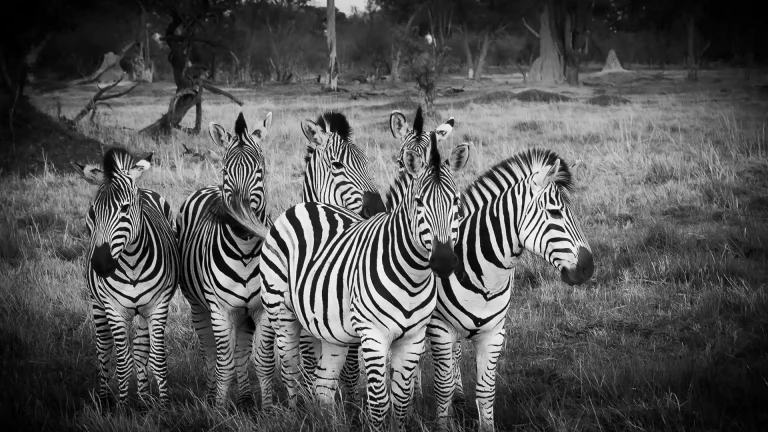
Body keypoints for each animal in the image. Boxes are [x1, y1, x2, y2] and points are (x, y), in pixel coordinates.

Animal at [73, 148, 179, 408]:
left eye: (125, 208)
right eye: (93, 213)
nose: (100, 265)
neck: (131, 263)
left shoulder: (158, 306)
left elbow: (157, 359)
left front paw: (164, 406)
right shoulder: (114, 310)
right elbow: (122, 362)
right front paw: (122, 407)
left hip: (142, 309)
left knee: (140, 349)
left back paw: (144, 399)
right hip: (96, 303)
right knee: (103, 348)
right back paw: (104, 398)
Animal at [261, 131, 471, 431]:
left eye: (455, 202)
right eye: (419, 202)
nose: (443, 261)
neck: (413, 279)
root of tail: (303, 206)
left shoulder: (413, 338)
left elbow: (401, 399)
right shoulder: (373, 335)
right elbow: (380, 402)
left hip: (330, 329)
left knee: (323, 385)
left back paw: (329, 423)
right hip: (281, 311)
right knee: (290, 369)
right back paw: (293, 415)